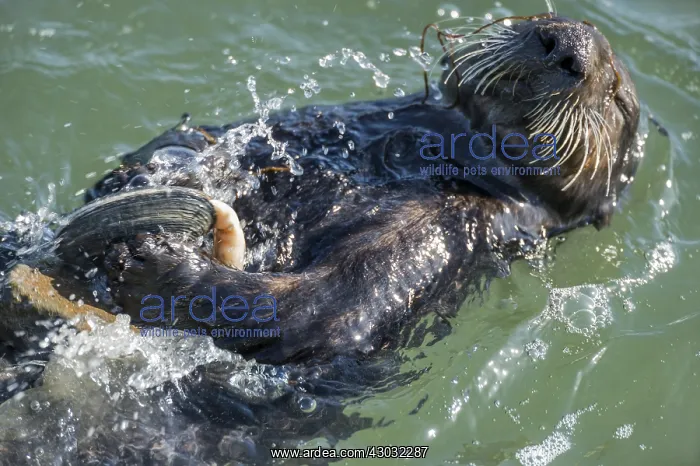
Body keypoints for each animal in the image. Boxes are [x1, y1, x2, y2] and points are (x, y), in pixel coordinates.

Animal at [0, 13, 642, 464]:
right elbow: (196, 141)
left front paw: (153, 255)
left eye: (617, 96)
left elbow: (319, 311)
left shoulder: (441, 240)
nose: (566, 43)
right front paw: (170, 174)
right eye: (537, 17)